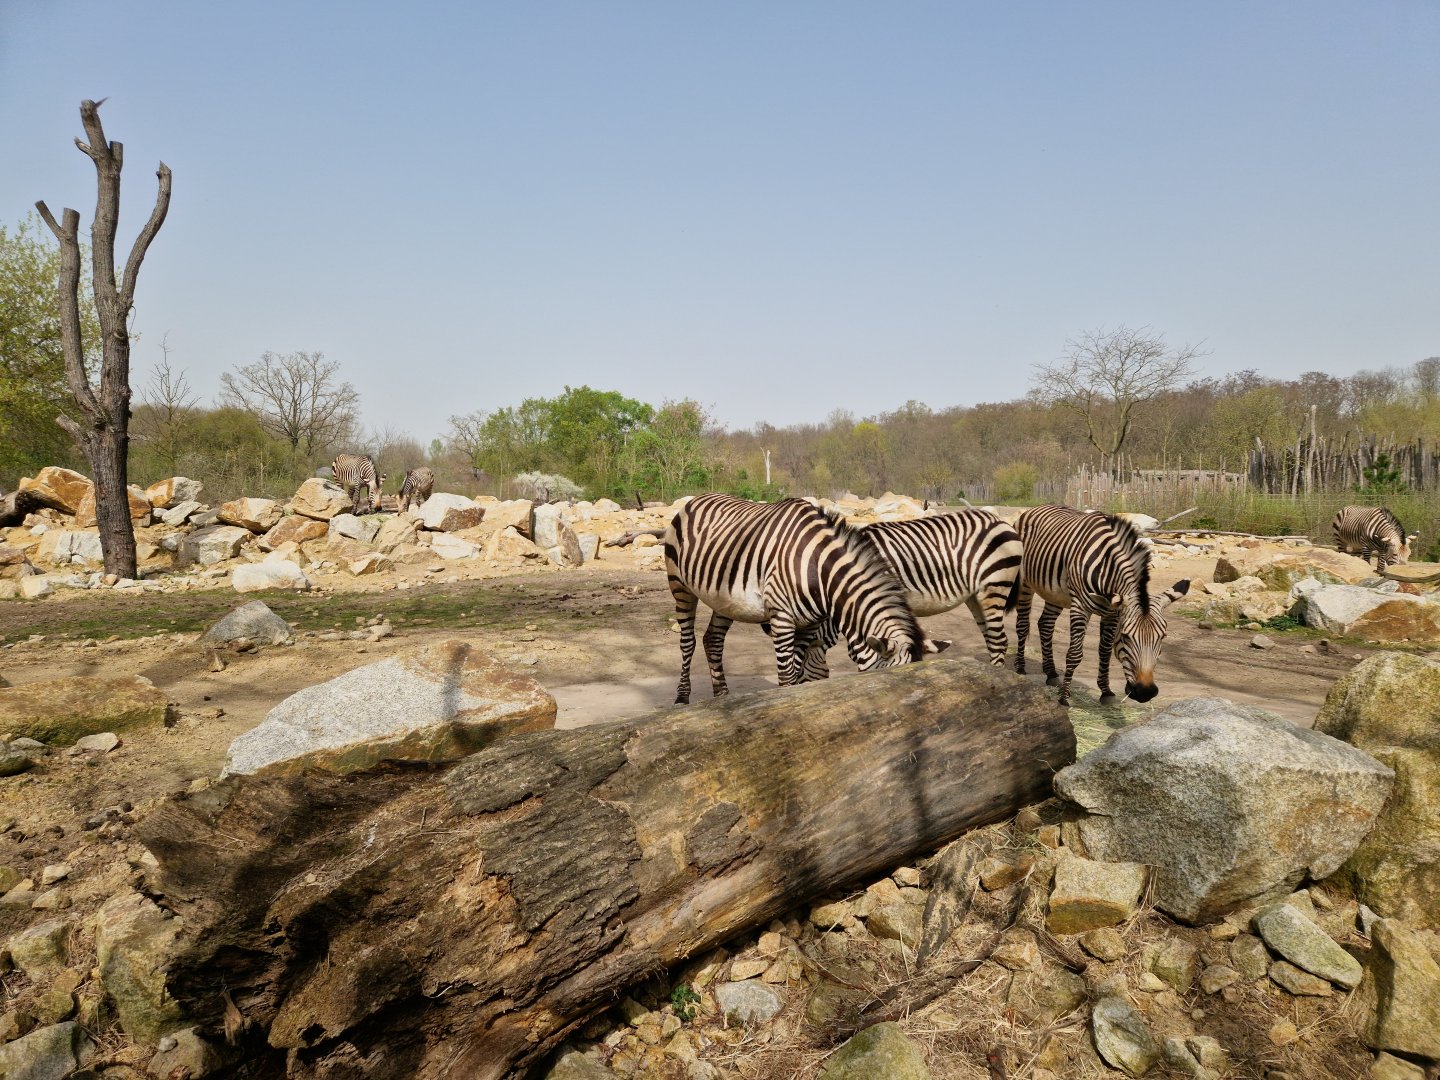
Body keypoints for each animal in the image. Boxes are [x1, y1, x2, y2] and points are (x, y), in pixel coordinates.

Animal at [663, 493, 942, 705]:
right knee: (687, 642)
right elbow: (787, 676)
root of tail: (695, 499)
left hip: (724, 600)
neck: (821, 573)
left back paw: (722, 696)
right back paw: (682, 697)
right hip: (680, 586)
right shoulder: (782, 619)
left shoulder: (810, 623)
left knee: (713, 640)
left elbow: (798, 673)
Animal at [1014, 504, 1190, 706]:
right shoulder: (1080, 607)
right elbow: (1075, 653)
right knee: (1022, 624)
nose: (1145, 693)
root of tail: (1036, 508)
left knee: (1045, 624)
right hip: (1024, 583)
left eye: (1162, 637)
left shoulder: (1112, 613)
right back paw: (1020, 668)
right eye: (1126, 637)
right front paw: (1064, 697)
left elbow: (1105, 651)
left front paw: (1106, 692)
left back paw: (1051, 673)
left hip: (1055, 593)